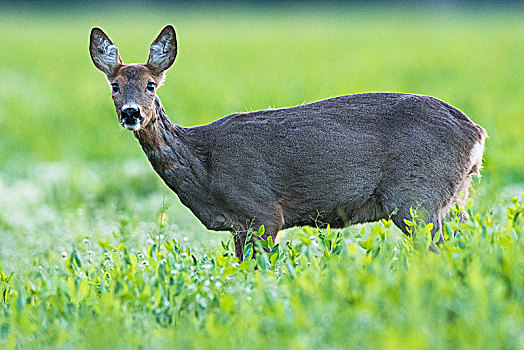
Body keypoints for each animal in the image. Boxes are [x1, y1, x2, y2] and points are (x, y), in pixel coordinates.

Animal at [88, 25, 486, 260]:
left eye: (151, 85)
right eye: (115, 86)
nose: (131, 113)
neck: (204, 167)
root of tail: (477, 133)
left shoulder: (260, 210)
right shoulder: (239, 225)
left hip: (415, 196)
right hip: (451, 197)